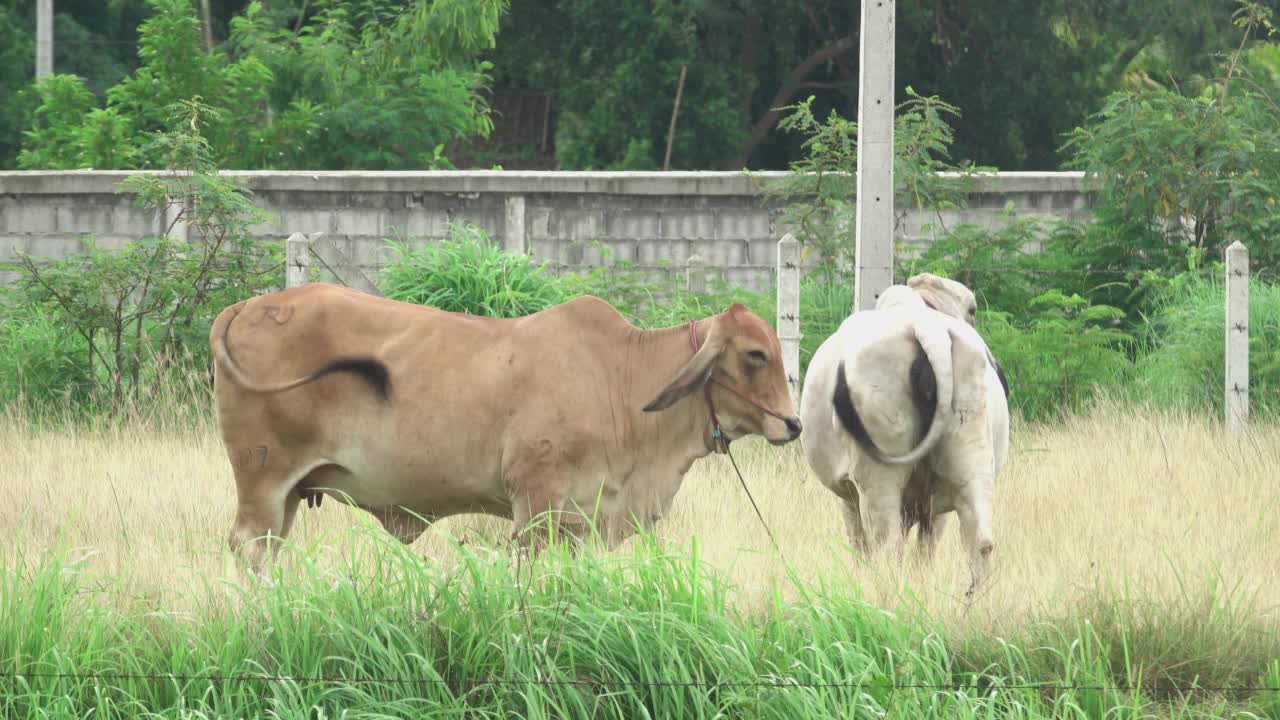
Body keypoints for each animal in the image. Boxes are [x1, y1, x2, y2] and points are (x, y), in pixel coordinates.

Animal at [207, 283, 798, 568]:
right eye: (755, 355)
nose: (793, 424)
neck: (621, 378)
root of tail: (245, 307)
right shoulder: (535, 506)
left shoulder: (582, 521)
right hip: (263, 479)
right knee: (247, 546)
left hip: (288, 493)